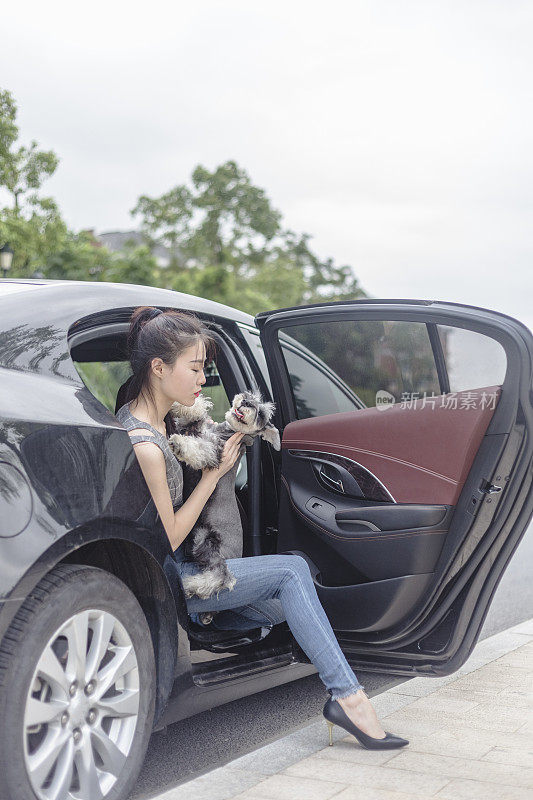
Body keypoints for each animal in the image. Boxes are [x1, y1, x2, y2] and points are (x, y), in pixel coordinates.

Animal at [169, 390, 278, 616]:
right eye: (251, 394)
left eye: (262, 413)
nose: (246, 401)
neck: (226, 432)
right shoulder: (192, 427)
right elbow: (194, 414)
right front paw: (181, 403)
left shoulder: (213, 453)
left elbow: (198, 448)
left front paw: (179, 443)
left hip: (207, 541)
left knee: (222, 576)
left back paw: (190, 585)